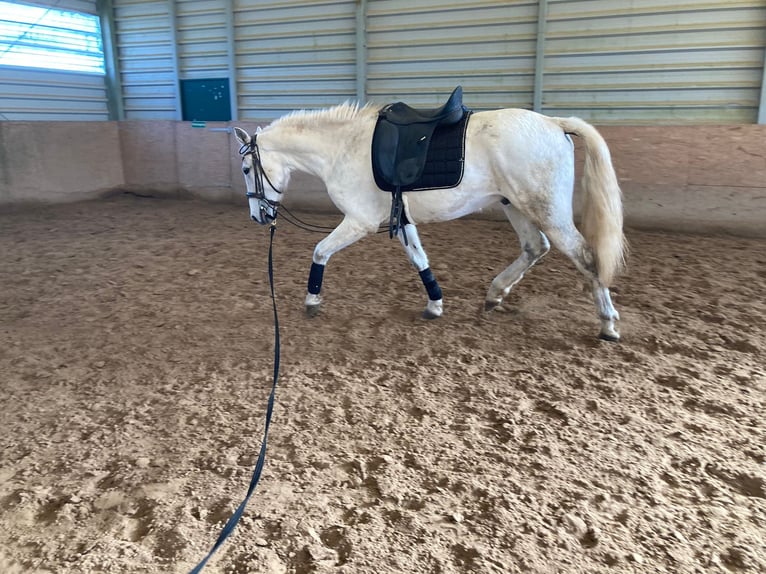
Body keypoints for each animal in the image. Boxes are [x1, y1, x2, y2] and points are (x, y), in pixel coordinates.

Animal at [237, 100, 628, 342]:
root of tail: (554, 124)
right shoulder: (402, 219)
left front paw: (312, 301)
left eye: (245, 169)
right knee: (535, 248)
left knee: (585, 256)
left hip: (545, 209)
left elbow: (319, 252)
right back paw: (495, 294)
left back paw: (607, 324)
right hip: (515, 204)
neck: (343, 148)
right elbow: (420, 260)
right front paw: (434, 304)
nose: (259, 216)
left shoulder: (359, 222)